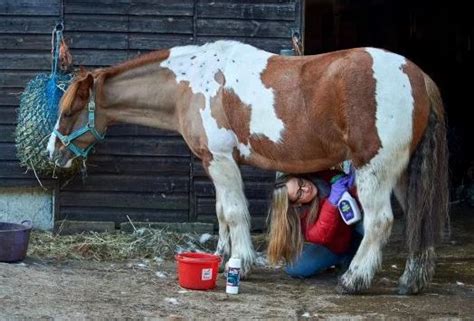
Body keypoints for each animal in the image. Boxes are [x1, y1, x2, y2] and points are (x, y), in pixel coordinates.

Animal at [47, 41, 448, 294]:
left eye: (67, 112)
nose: (53, 152)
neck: (192, 81)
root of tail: (417, 75)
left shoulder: (221, 160)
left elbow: (235, 212)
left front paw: (241, 261)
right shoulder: (215, 162)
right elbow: (222, 212)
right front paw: (224, 255)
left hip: (374, 171)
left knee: (380, 222)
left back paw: (354, 280)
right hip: (404, 174)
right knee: (419, 219)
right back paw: (412, 282)